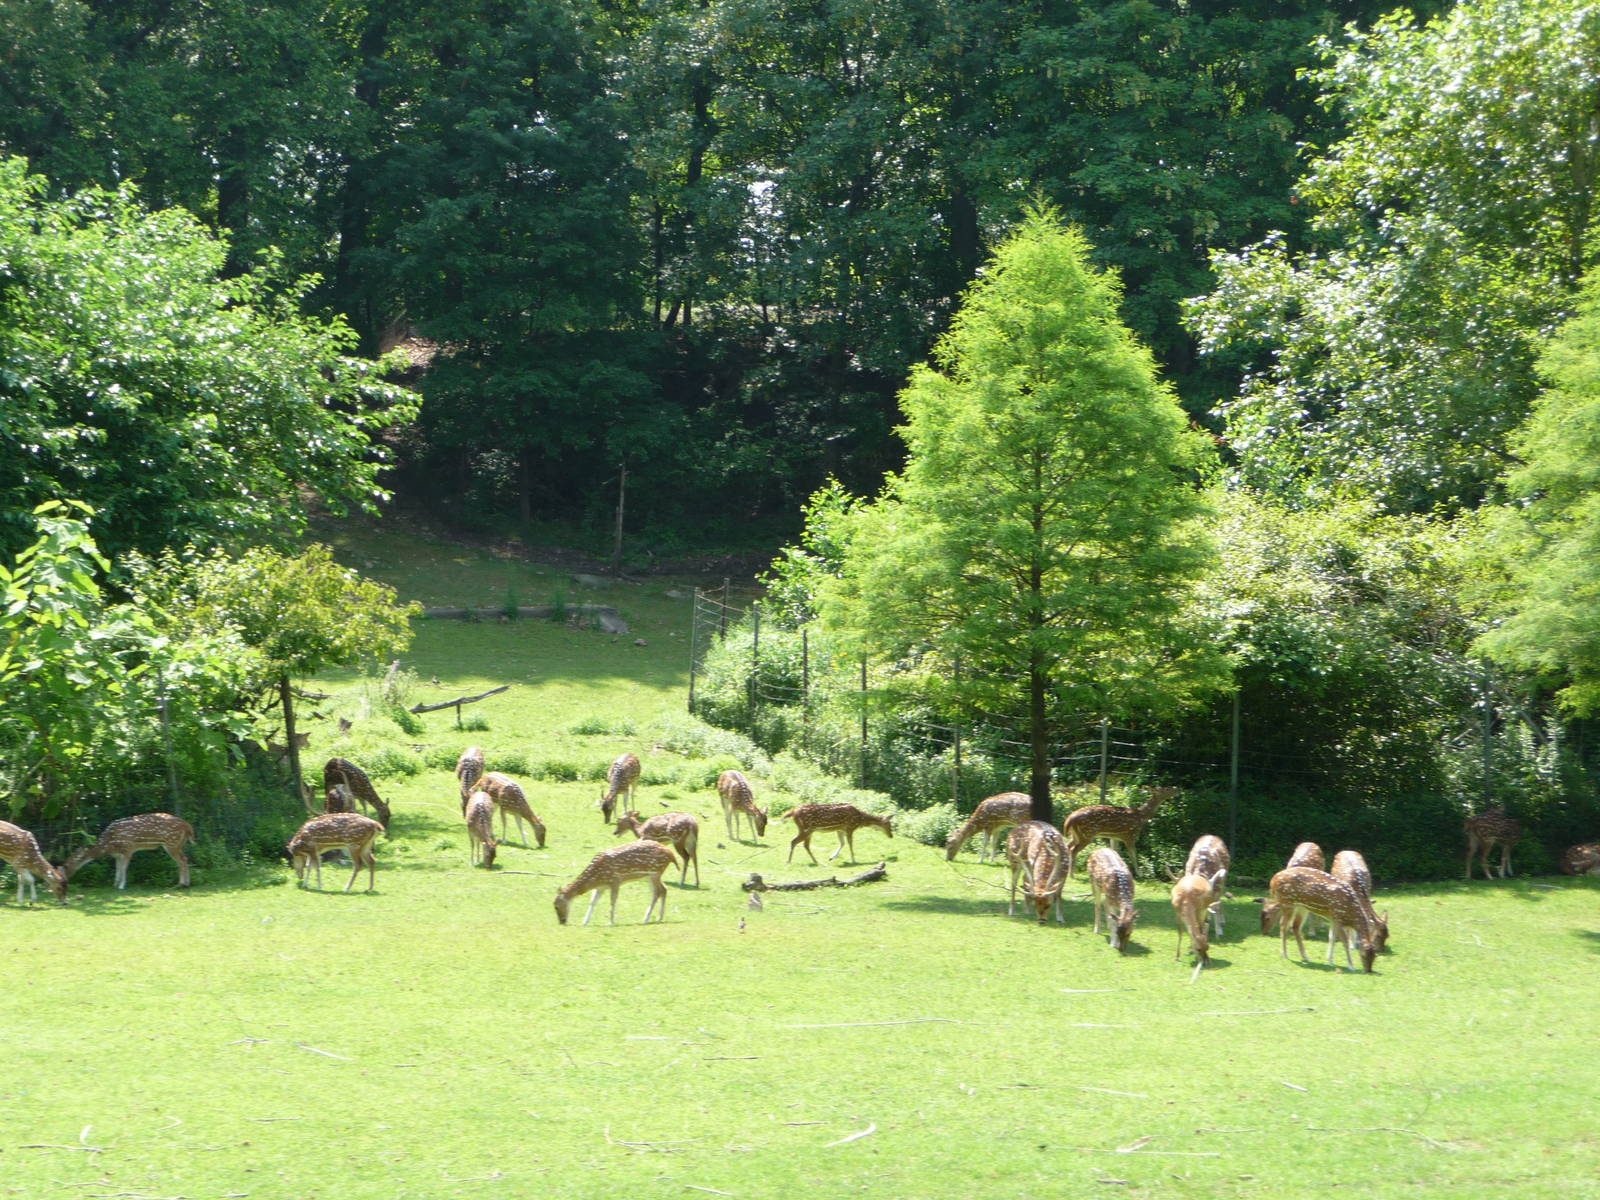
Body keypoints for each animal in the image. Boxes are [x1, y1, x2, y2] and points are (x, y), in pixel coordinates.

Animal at [61, 813, 195, 890]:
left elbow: (124, 867)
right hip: (178, 844)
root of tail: (188, 826)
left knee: (181, 860)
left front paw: (121, 886)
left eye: (67, 864)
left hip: (171, 842)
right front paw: (115, 884)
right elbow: (118, 867)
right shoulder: (118, 854)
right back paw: (186, 883)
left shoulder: (129, 848)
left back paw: (181, 884)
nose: (66, 878)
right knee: (185, 858)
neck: (109, 844)